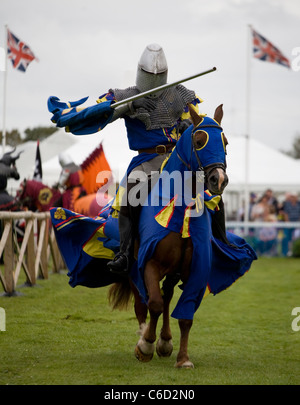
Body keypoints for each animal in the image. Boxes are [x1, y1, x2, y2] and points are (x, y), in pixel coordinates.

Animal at [110, 105, 230, 368]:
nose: (218, 179)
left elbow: (184, 316)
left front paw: (182, 358)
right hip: (133, 268)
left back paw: (165, 341)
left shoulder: (194, 270)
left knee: (166, 297)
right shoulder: (149, 263)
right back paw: (145, 336)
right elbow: (152, 304)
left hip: (173, 272)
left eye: (225, 142)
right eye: (199, 141)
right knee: (143, 303)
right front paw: (145, 345)